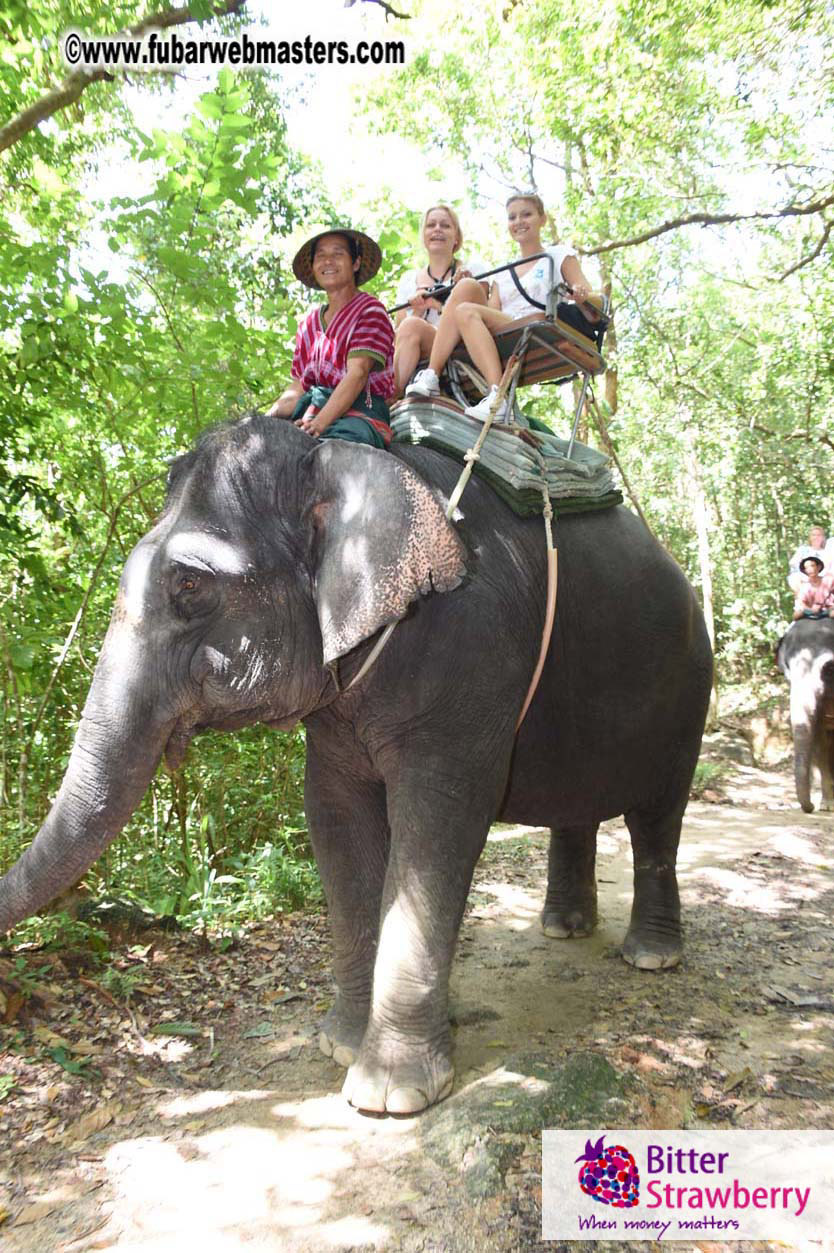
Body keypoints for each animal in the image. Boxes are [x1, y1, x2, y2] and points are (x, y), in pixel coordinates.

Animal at [0, 415, 712, 1114]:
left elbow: (438, 824)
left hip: (688, 692)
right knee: (578, 808)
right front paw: (339, 1044)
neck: (339, 458)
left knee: (658, 817)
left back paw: (651, 956)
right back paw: (563, 928)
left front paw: (390, 1093)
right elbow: (336, 821)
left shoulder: (470, 648)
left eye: (191, 585)